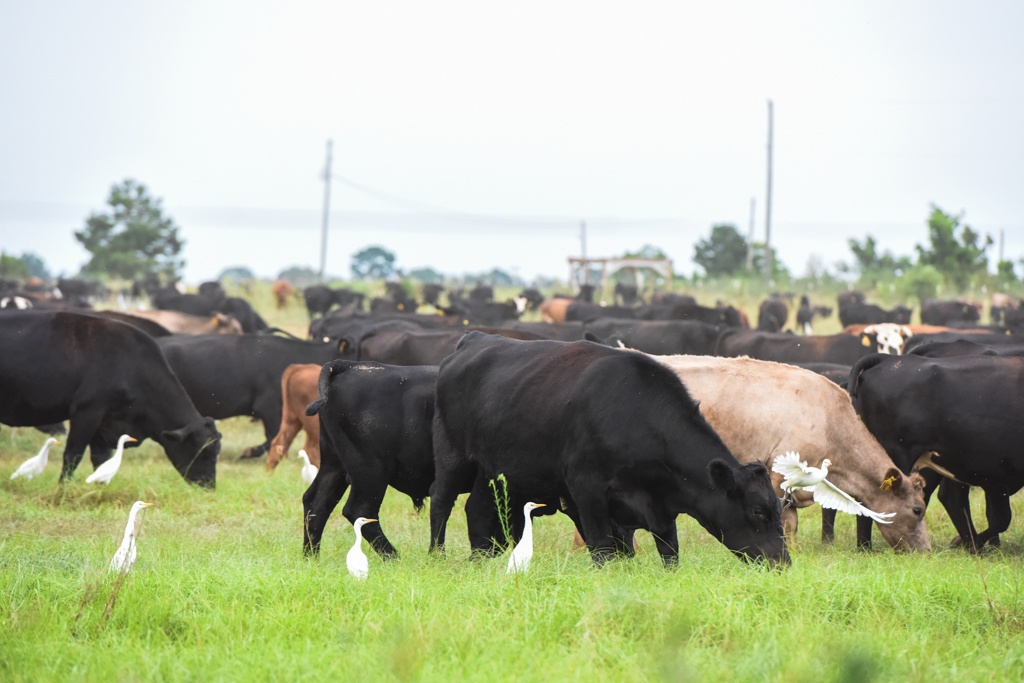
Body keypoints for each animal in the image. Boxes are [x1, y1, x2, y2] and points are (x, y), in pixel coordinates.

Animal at [0, 313, 220, 489]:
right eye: (204, 452)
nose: (209, 486)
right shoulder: (87, 411)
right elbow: (73, 454)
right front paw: (63, 488)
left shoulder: (105, 422)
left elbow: (101, 460)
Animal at [299, 360, 436, 557]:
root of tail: (352, 365)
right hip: (370, 471)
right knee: (359, 510)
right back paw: (394, 557)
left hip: (334, 465)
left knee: (316, 502)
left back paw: (311, 557)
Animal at [428, 333, 786, 569]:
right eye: (758, 511)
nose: (783, 562)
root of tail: (475, 339)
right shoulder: (587, 491)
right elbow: (602, 548)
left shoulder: (660, 507)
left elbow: (668, 552)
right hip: (452, 456)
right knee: (441, 501)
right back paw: (436, 555)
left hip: (492, 471)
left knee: (476, 508)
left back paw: (480, 559)